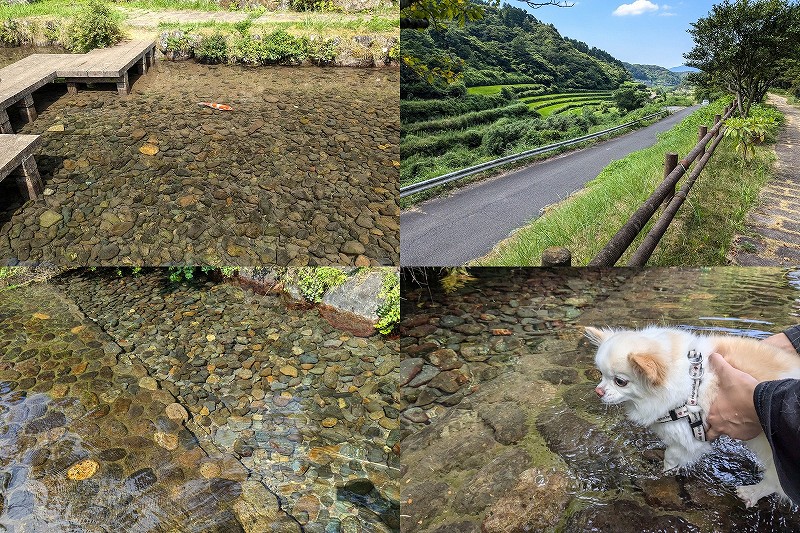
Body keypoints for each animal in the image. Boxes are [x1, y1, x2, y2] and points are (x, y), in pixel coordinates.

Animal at [584, 324, 800, 508]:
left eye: (620, 381)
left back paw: (752, 492)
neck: (692, 381)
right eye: (601, 374)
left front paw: (666, 471)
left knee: (775, 481)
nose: (598, 391)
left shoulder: (691, 435)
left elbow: (672, 454)